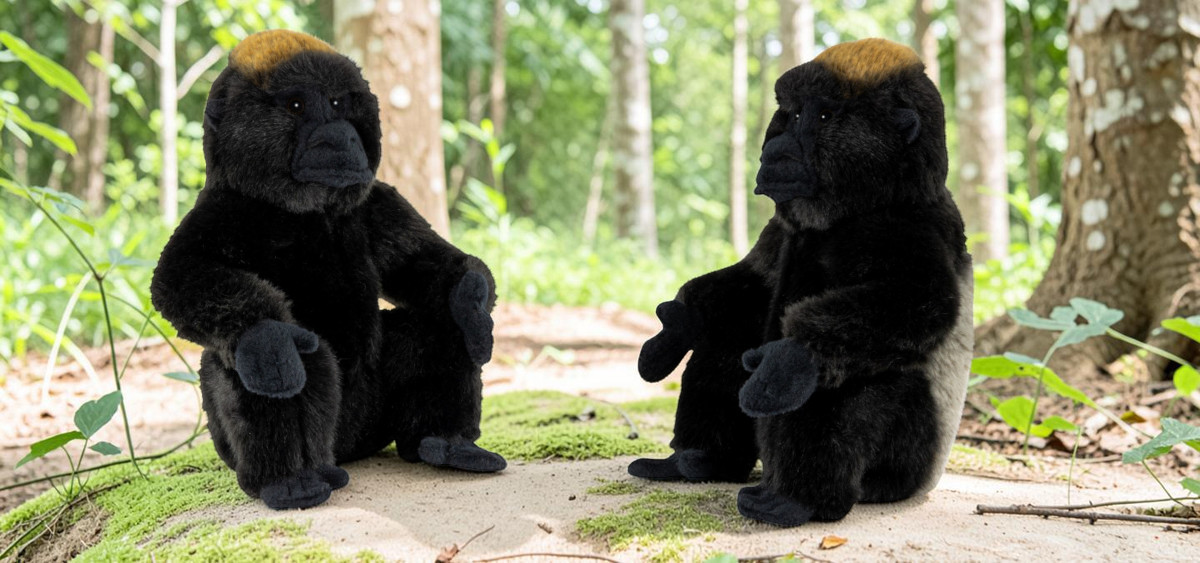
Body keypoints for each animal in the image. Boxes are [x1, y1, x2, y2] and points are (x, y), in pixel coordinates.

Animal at [150, 30, 506, 510]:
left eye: (338, 103)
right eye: (297, 105)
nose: (340, 136)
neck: (305, 210)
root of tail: (351, 451)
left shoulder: (377, 201)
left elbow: (422, 263)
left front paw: (470, 303)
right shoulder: (220, 212)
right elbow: (182, 277)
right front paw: (268, 339)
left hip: (377, 424)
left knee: (433, 324)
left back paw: (448, 442)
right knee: (260, 356)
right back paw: (291, 479)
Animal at [629, 38, 973, 527]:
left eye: (823, 117)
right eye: (791, 115)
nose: (777, 148)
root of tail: (926, 484)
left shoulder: (904, 228)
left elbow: (922, 302)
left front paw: (791, 357)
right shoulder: (780, 229)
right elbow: (752, 281)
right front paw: (676, 326)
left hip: (904, 460)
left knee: (839, 386)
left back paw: (794, 500)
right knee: (727, 341)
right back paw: (694, 460)